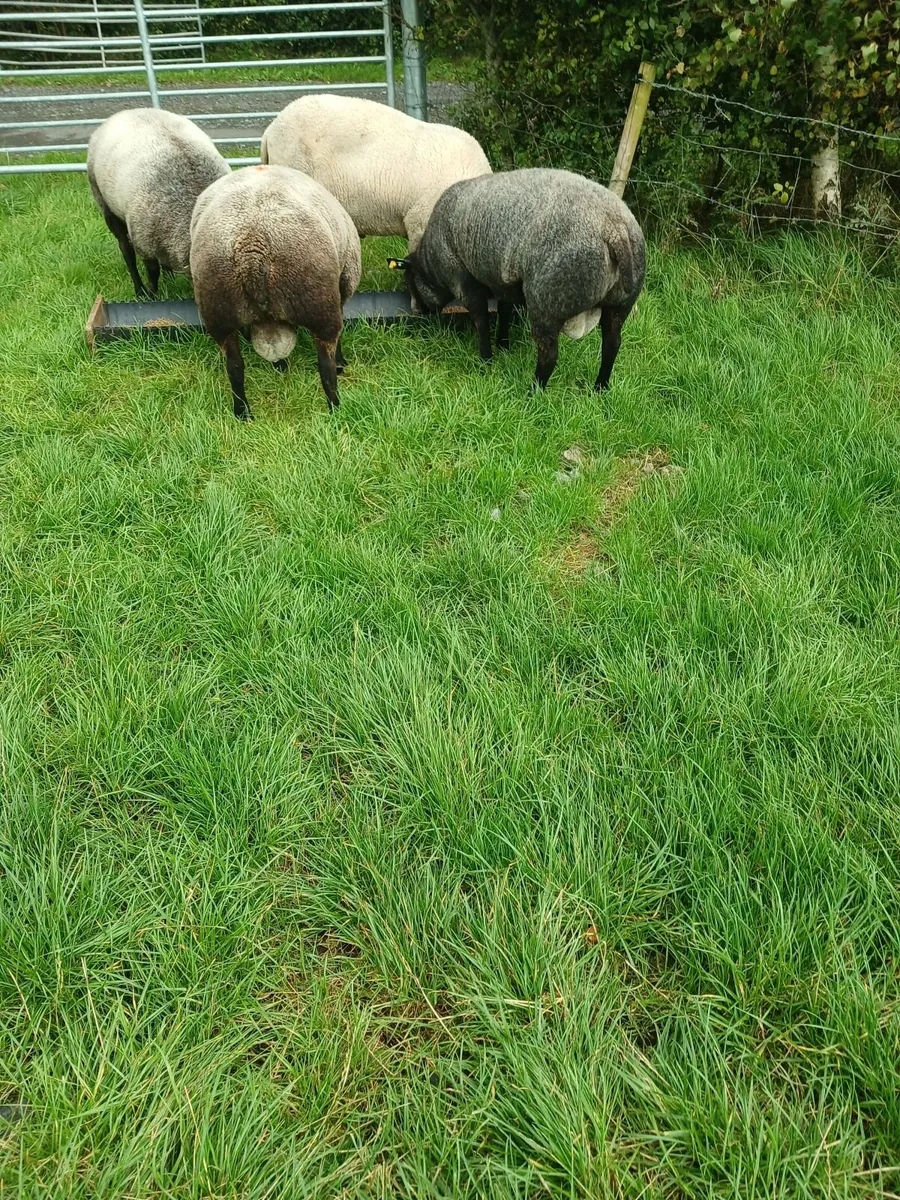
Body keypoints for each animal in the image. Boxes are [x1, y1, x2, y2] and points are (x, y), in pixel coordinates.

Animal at [87, 108, 230, 298]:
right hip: (105, 204)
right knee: (126, 251)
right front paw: (152, 295)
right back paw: (139, 290)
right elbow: (152, 272)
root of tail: (129, 111)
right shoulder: (143, 243)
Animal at [189, 164, 361, 421]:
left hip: (218, 309)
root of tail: (251, 246)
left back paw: (242, 412)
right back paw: (335, 409)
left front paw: (280, 365)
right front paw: (341, 363)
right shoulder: (343, 283)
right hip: (319, 306)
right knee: (325, 368)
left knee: (234, 366)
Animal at [390, 168, 646, 392]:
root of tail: (615, 230)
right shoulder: (503, 283)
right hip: (620, 303)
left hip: (548, 301)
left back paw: (533, 393)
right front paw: (503, 346)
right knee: (612, 343)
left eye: (409, 282)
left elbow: (481, 320)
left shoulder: (462, 279)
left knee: (549, 355)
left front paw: (486, 361)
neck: (431, 263)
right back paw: (600, 388)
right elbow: (505, 311)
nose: (418, 312)